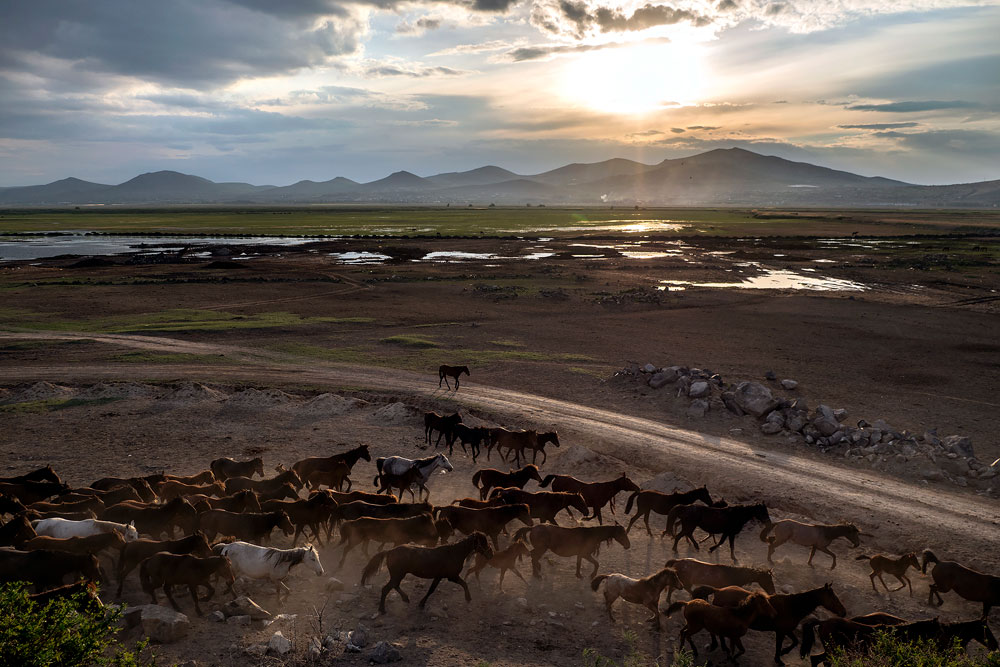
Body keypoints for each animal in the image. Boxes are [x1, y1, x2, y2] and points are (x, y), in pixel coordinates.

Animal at [364, 532, 496, 616]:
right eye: (483, 542)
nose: (491, 554)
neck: (454, 553)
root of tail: (390, 551)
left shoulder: (439, 576)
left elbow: (431, 590)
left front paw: (421, 604)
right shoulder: (452, 577)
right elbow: (464, 584)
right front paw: (468, 598)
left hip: (398, 575)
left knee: (394, 586)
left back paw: (405, 599)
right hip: (398, 575)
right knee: (386, 589)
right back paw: (382, 610)